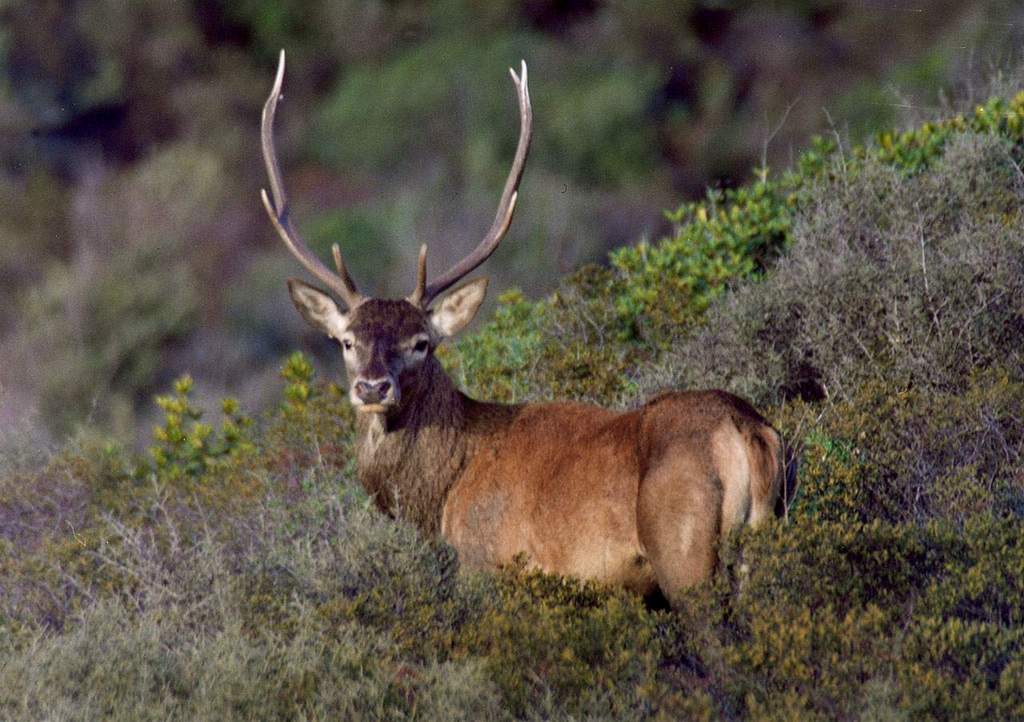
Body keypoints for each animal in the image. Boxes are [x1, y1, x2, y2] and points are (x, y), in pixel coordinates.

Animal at [260, 51, 787, 605]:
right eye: (347, 341)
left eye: (422, 343)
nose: (373, 387)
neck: (441, 496)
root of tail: (748, 432)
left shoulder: (482, 563)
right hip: (760, 537)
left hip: (683, 551)